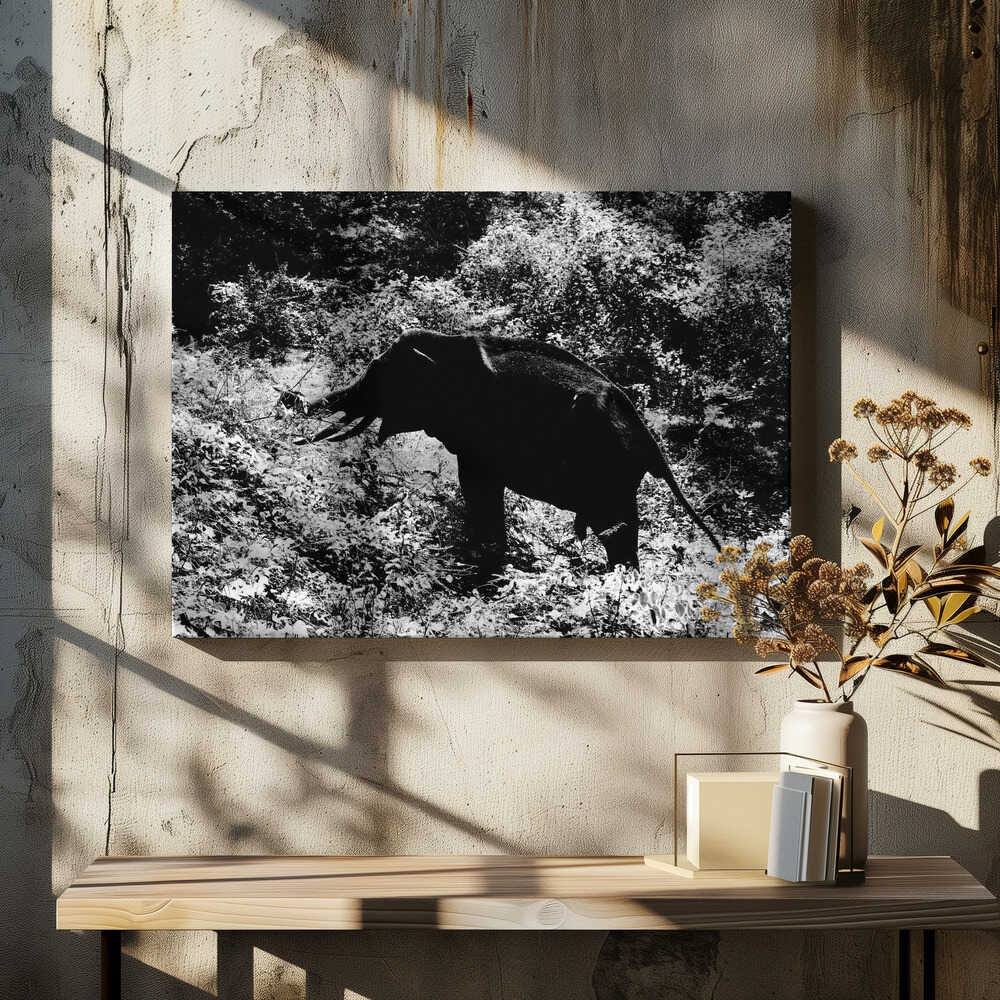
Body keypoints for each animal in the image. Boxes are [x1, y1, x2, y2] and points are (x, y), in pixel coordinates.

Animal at [281, 328, 721, 573]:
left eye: (379, 379)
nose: (288, 397)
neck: (446, 344)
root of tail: (649, 440)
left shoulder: (479, 434)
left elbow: (478, 487)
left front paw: (481, 563)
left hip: (607, 471)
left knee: (618, 530)